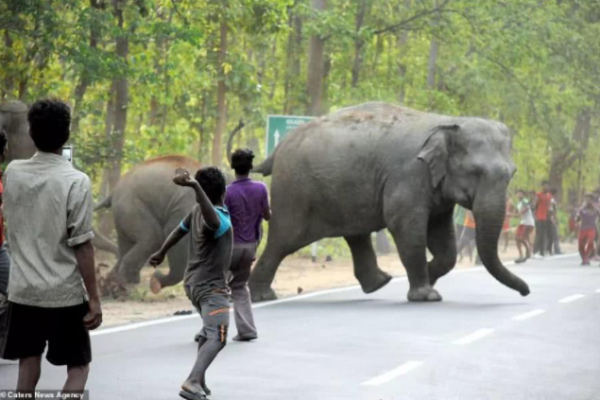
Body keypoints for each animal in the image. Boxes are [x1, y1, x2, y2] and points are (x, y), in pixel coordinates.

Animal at [244, 101, 528, 302]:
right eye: (476, 172)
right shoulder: (409, 175)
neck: (448, 121)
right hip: (295, 190)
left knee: (355, 234)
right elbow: (406, 227)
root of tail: (279, 148)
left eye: (512, 173)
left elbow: (444, 241)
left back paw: (380, 283)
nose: (526, 292)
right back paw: (263, 297)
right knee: (284, 239)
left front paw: (429, 277)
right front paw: (427, 295)